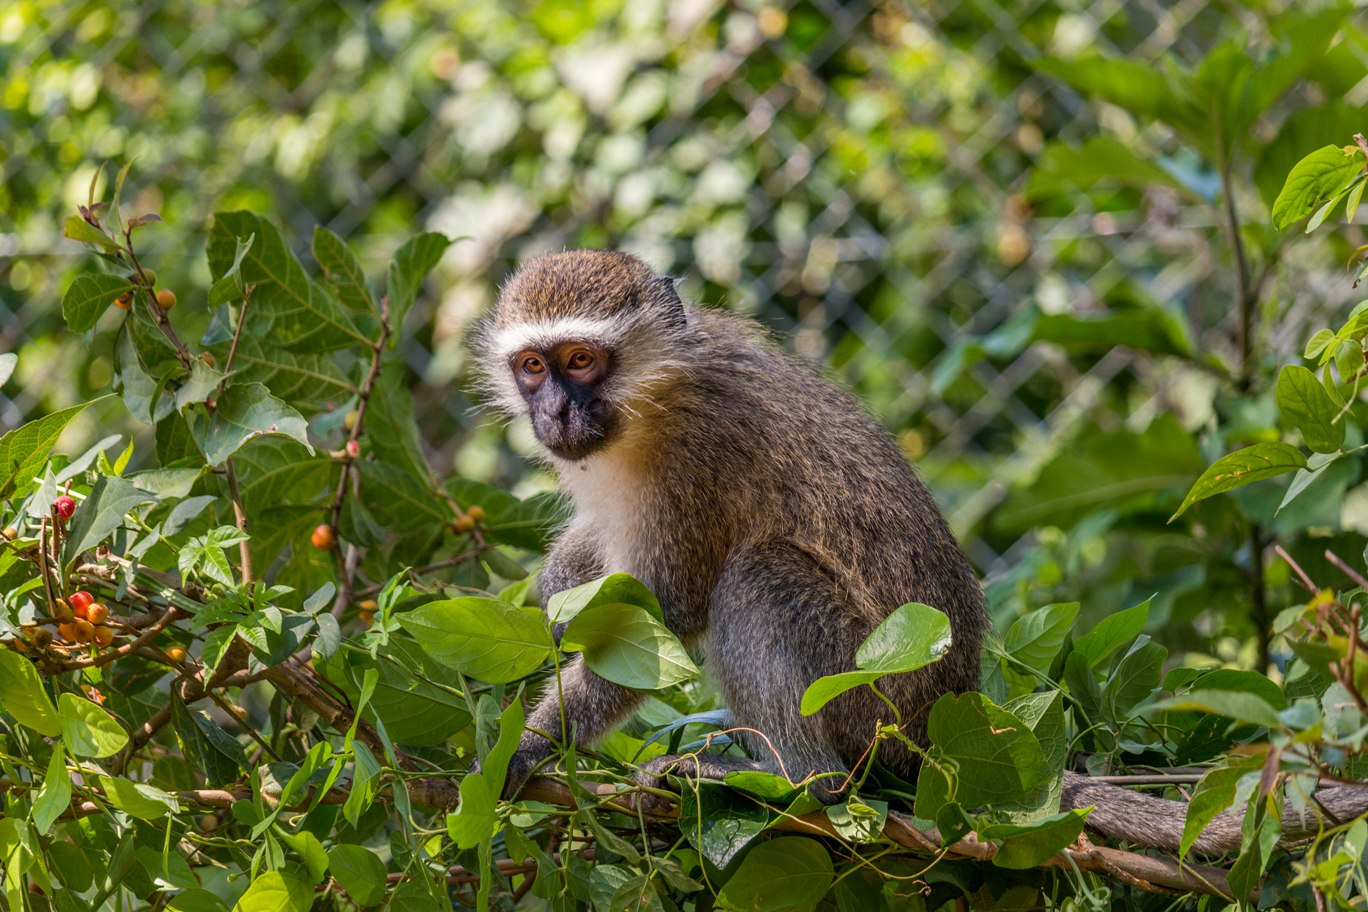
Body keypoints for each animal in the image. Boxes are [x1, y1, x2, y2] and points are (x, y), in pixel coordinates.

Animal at [473, 247, 1368, 847]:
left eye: (582, 360)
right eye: (533, 367)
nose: (555, 415)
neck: (645, 408)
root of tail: (940, 722)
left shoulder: (695, 457)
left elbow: (659, 619)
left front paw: (525, 743)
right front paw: (548, 596)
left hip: (864, 702)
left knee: (761, 579)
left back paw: (801, 786)